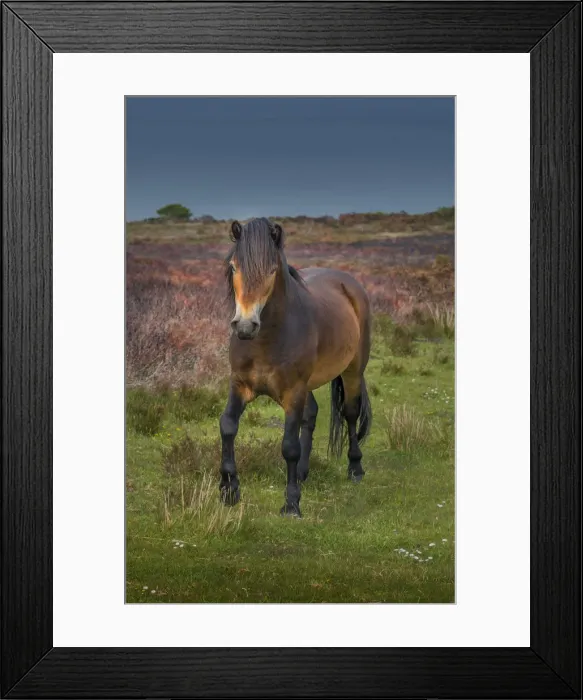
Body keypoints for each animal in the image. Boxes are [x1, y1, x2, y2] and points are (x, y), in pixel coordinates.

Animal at [220, 217, 372, 517]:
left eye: (271, 270)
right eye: (233, 267)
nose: (245, 326)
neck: (266, 339)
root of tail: (349, 283)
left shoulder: (293, 392)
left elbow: (289, 446)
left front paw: (291, 504)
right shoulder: (240, 384)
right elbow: (228, 426)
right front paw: (229, 490)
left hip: (352, 371)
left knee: (349, 413)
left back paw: (355, 468)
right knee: (311, 415)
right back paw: (302, 473)